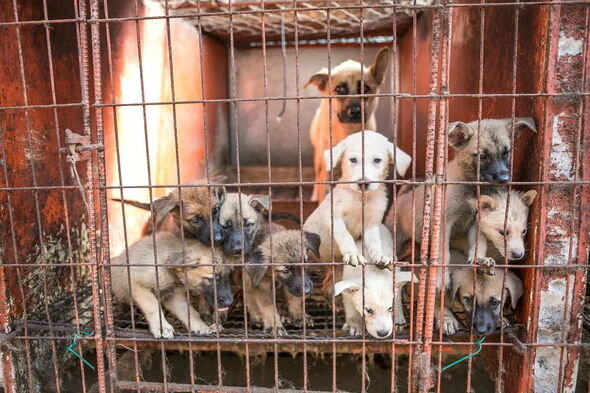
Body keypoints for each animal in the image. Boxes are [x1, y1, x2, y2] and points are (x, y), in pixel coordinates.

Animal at [306, 130, 412, 268]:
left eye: (377, 160)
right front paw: (353, 254)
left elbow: (375, 242)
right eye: (353, 160)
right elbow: (345, 235)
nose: (363, 182)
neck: (361, 198)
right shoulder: (333, 215)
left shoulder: (371, 224)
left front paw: (380, 255)